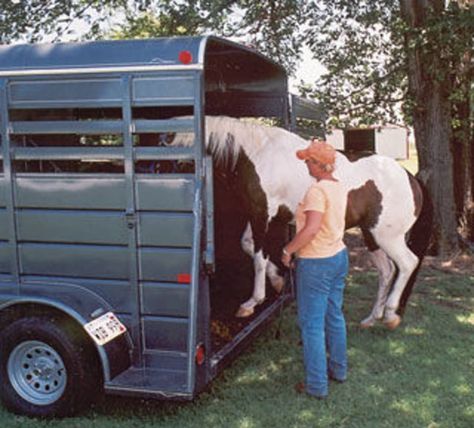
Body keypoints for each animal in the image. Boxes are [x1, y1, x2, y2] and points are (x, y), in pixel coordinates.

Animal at [168, 115, 432, 330]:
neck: (257, 154)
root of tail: (409, 177)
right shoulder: (259, 214)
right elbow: (247, 245)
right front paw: (277, 281)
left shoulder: (262, 214)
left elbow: (258, 258)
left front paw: (252, 302)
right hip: (372, 236)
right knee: (387, 272)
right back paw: (372, 317)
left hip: (387, 237)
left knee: (407, 264)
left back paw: (390, 315)